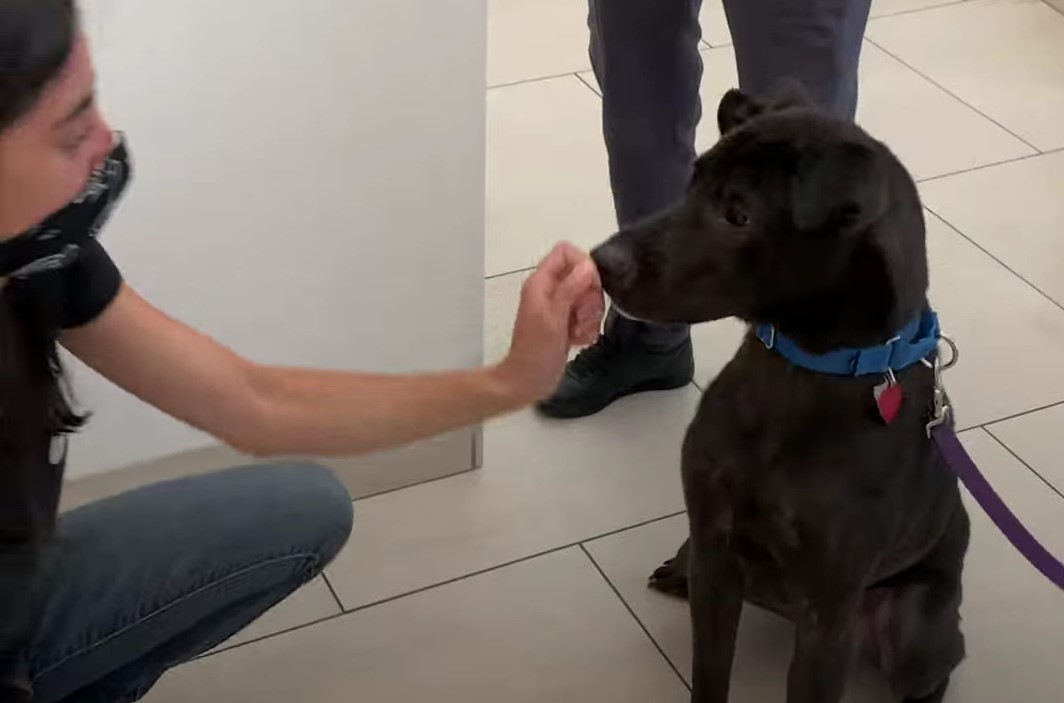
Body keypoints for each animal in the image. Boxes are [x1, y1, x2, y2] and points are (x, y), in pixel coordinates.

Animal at [591, 89, 974, 701]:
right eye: (692, 183)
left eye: (739, 214)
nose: (603, 262)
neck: (798, 373)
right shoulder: (716, 555)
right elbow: (708, 675)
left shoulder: (826, 615)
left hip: (916, 623)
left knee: (937, 667)